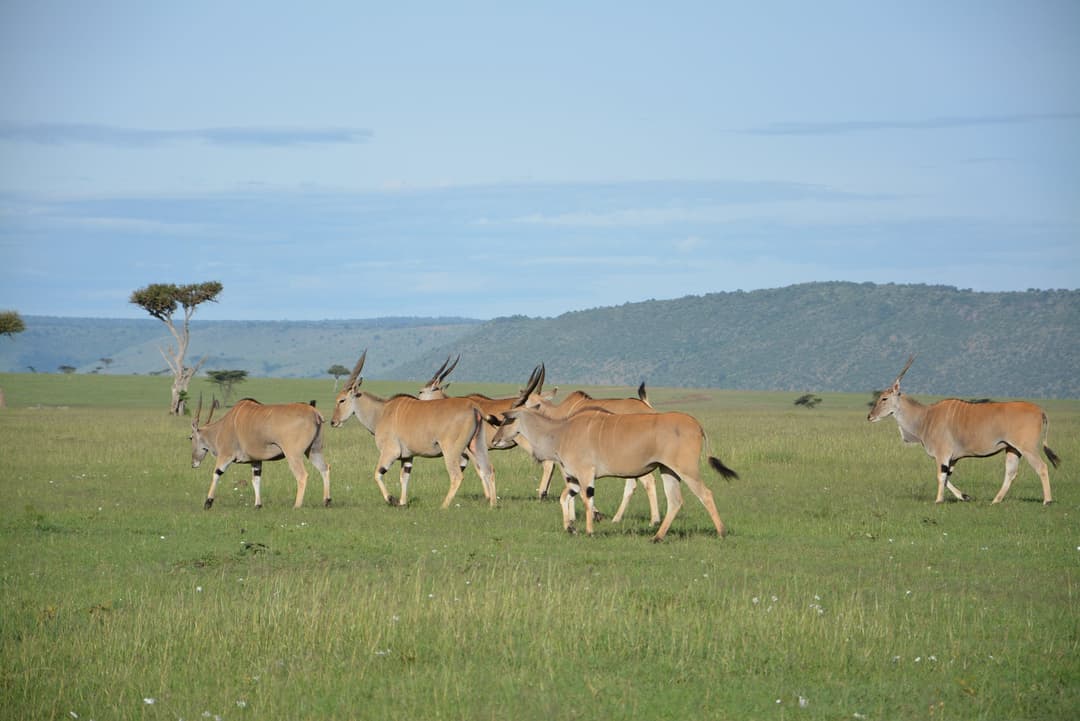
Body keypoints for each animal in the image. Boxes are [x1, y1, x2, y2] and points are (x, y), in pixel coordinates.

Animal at [190, 397, 330, 509]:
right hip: (314, 451)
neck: (223, 426)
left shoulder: (225, 455)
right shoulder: (256, 461)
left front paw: (208, 502)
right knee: (325, 468)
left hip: (293, 455)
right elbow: (256, 479)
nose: (193, 463)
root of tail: (314, 413)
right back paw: (327, 501)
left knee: (302, 475)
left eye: (190, 438)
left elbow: (216, 474)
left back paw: (297, 505)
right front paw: (258, 505)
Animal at [328, 351, 496, 509]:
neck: (382, 412)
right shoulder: (407, 457)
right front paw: (402, 503)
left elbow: (377, 474)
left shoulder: (390, 452)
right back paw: (493, 504)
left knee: (457, 476)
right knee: (488, 470)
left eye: (342, 400)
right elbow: (404, 478)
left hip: (452, 451)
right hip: (476, 446)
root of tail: (473, 406)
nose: (333, 422)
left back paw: (443, 506)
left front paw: (392, 499)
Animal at [492, 377, 738, 539]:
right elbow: (565, 497)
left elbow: (586, 499)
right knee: (675, 500)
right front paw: (570, 527)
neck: (562, 429)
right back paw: (657, 536)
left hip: (686, 469)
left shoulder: (585, 474)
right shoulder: (573, 477)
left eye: (508, 419)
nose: (494, 440)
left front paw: (589, 530)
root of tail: (696, 424)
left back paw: (721, 532)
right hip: (667, 470)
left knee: (705, 494)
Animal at [864, 356, 1058, 505]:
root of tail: (1040, 410)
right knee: (1010, 473)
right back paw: (995, 501)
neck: (926, 417)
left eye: (884, 398)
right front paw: (965, 496)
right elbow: (947, 478)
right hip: (1012, 449)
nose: (870, 416)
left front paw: (938, 500)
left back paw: (1047, 501)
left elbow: (941, 476)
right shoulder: (953, 458)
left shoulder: (942, 455)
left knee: (1041, 467)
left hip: (1027, 448)